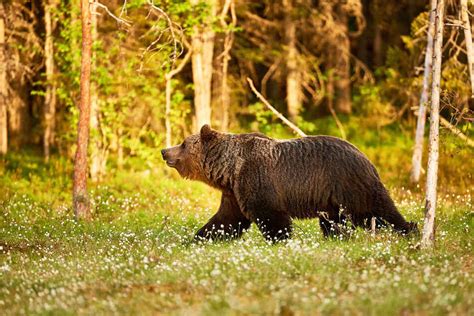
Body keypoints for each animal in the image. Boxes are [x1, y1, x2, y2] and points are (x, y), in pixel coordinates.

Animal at [161, 124, 416, 241]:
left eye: (183, 143)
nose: (165, 151)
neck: (229, 169)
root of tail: (365, 155)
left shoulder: (257, 179)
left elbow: (271, 216)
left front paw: (280, 241)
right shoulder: (235, 192)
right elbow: (226, 220)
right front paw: (197, 238)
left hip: (349, 182)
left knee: (376, 210)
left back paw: (409, 229)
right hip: (330, 199)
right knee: (336, 222)